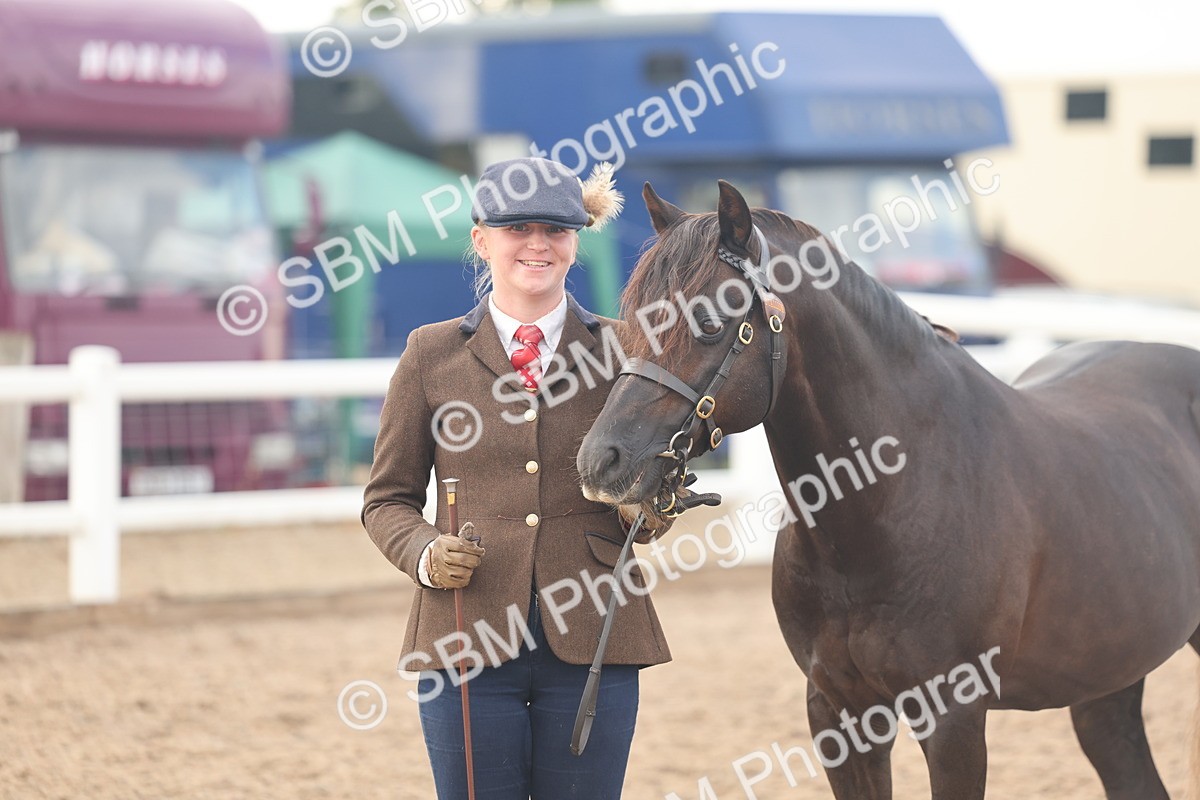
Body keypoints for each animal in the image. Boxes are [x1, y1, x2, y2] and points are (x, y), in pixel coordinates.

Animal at [575, 179, 1200, 799]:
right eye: (629, 319)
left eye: (708, 321)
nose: (600, 461)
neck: (887, 508)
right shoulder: (840, 713)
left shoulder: (953, 722)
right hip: (1106, 682)